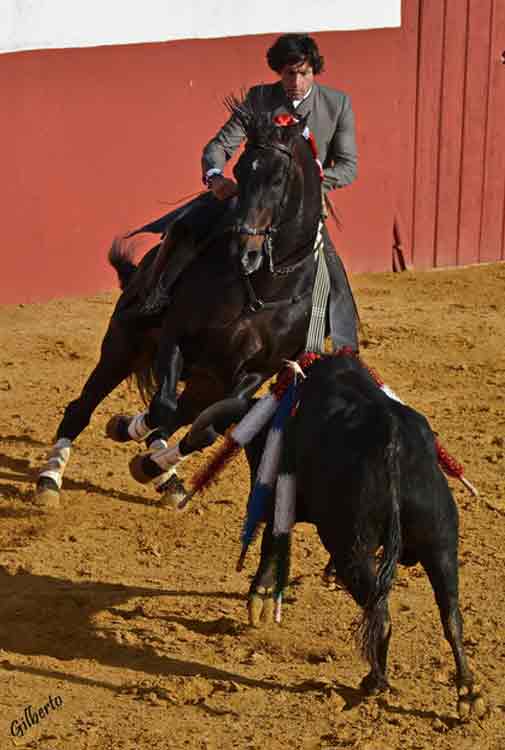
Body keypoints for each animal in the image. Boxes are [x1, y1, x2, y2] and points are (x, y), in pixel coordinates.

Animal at [35, 106, 358, 508]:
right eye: (240, 171)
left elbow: (208, 427)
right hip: (124, 344)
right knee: (83, 408)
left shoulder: (254, 372)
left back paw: (162, 472)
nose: (246, 251)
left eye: (279, 178)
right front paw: (130, 433)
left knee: (185, 413)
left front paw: (150, 463)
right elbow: (163, 408)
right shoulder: (175, 335)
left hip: (204, 379)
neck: (263, 288)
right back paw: (50, 479)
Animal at [238, 356, 486, 724]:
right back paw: (469, 693)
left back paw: (374, 681)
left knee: (380, 614)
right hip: (441, 540)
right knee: (451, 614)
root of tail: (391, 438)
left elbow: (272, 538)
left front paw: (261, 597)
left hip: (352, 548)